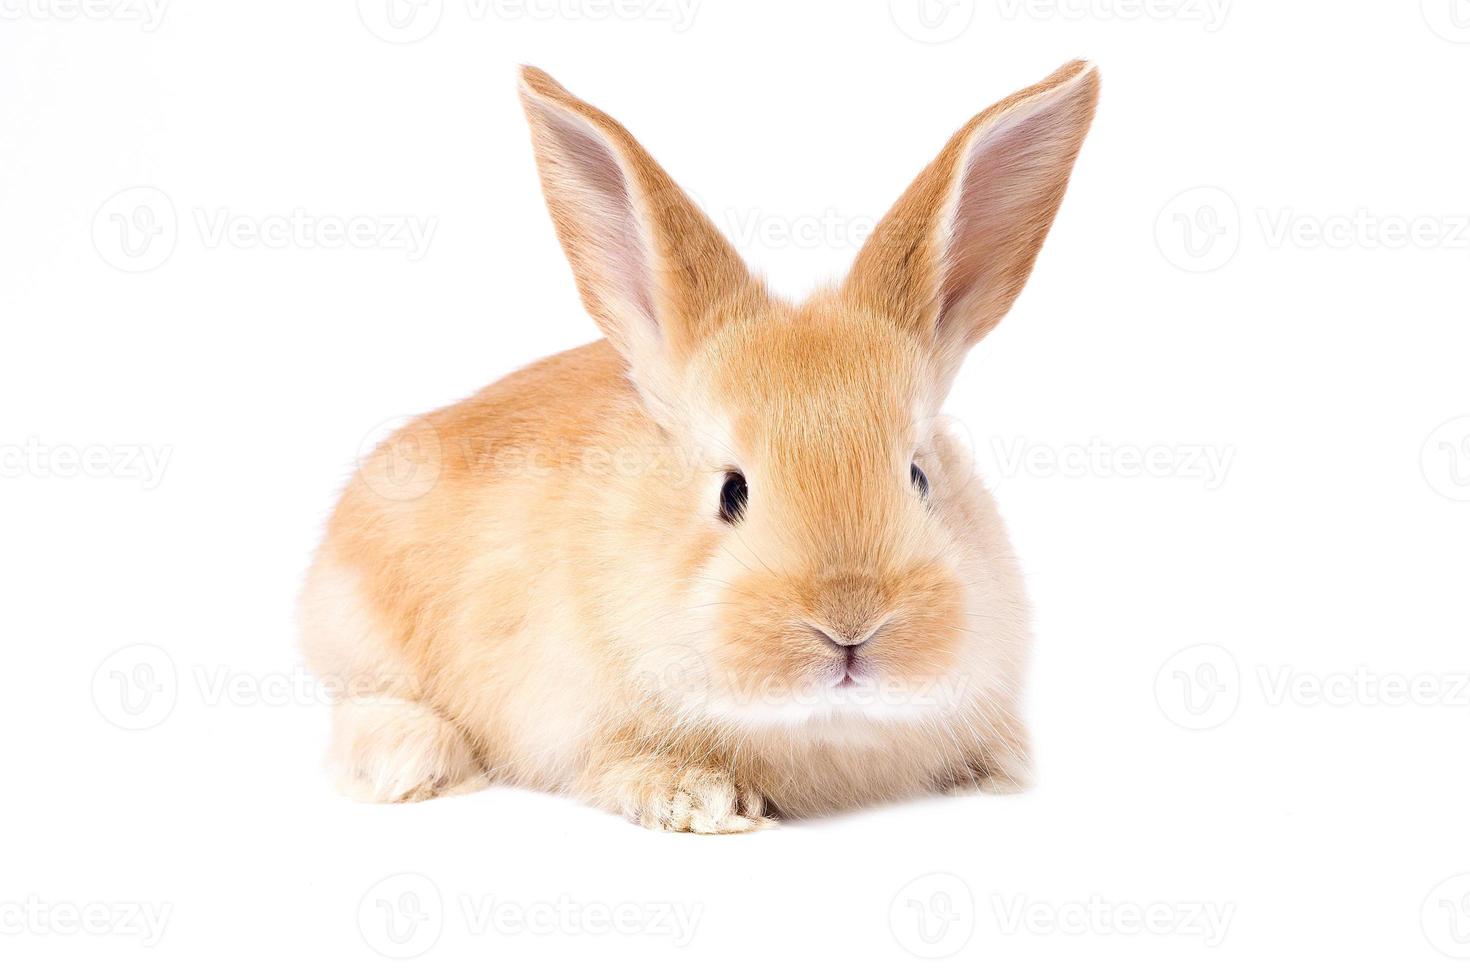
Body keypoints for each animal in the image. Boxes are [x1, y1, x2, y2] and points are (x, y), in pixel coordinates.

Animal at [298, 61, 1099, 834]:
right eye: (730, 491)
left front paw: (999, 768)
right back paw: (411, 762)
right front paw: (701, 801)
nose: (850, 623)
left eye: (920, 478)